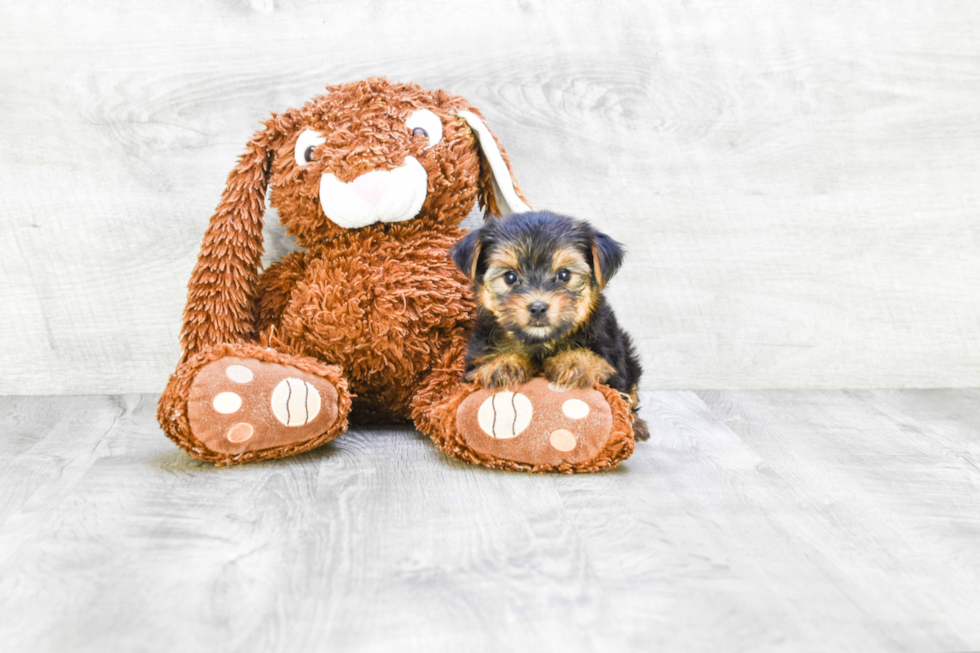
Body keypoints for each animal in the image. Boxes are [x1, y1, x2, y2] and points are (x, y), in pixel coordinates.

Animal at [452, 211, 652, 440]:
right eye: (510, 277)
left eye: (564, 275)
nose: (538, 307)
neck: (541, 342)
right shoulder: (477, 355)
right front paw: (503, 363)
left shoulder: (608, 350)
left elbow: (599, 366)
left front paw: (575, 362)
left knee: (630, 392)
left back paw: (635, 424)